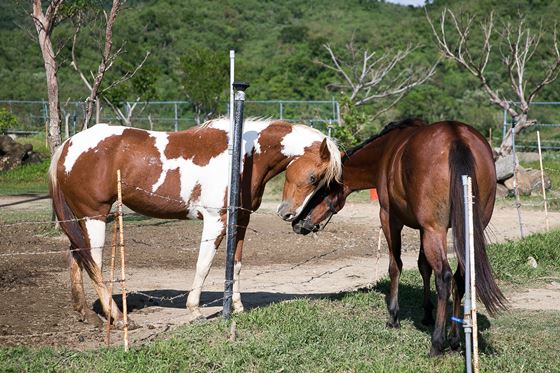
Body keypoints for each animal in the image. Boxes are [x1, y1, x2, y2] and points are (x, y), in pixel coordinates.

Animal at [50, 117, 342, 326]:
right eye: (314, 177)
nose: (289, 215)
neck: (242, 156)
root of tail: (68, 146)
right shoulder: (215, 221)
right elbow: (204, 264)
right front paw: (195, 311)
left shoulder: (241, 220)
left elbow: (236, 264)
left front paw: (238, 308)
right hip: (94, 216)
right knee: (94, 263)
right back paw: (120, 318)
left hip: (81, 219)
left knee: (76, 257)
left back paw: (88, 315)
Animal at [290, 118, 506, 354]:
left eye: (319, 188)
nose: (297, 222)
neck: (386, 151)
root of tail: (456, 134)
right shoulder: (422, 229)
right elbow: (423, 267)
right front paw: (427, 313)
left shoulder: (390, 219)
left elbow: (396, 266)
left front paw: (393, 317)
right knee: (460, 277)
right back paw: (455, 337)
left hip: (435, 230)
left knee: (445, 276)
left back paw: (437, 342)